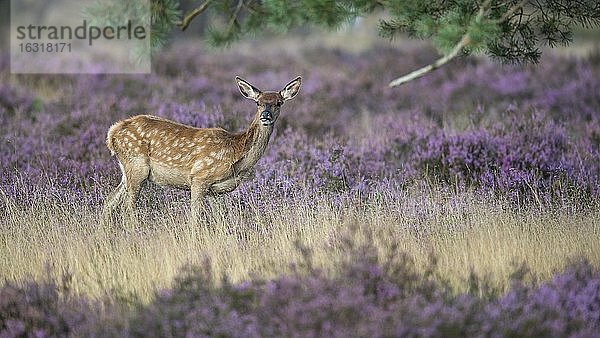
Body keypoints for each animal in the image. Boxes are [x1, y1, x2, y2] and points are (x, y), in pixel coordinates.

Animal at [103, 77, 302, 223]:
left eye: (279, 102)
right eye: (258, 103)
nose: (265, 115)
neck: (236, 156)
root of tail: (112, 133)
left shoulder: (215, 190)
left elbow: (221, 219)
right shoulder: (199, 177)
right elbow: (195, 219)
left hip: (127, 171)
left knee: (108, 202)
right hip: (137, 166)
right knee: (127, 209)